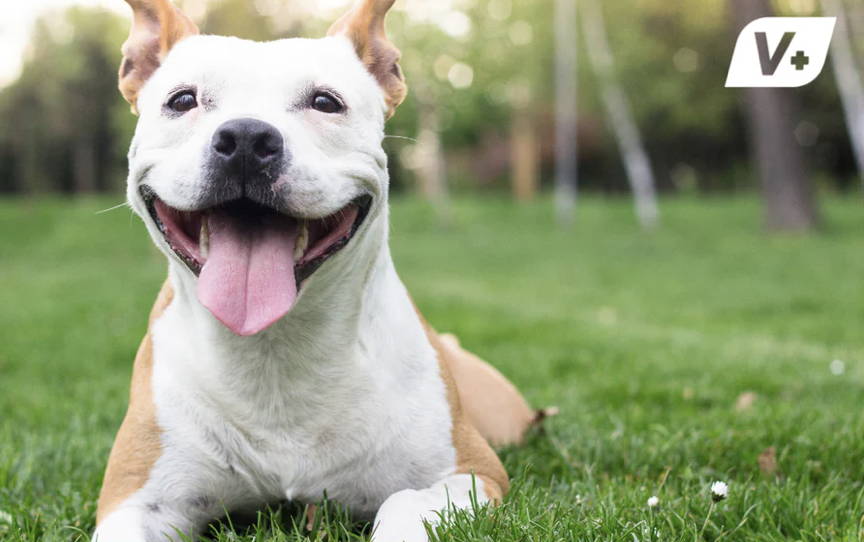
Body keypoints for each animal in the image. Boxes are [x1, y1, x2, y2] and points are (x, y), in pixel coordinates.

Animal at [91, 2, 548, 540]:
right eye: (182, 100)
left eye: (326, 102)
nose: (246, 137)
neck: (274, 350)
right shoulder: (135, 499)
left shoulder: (470, 474)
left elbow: (402, 504)